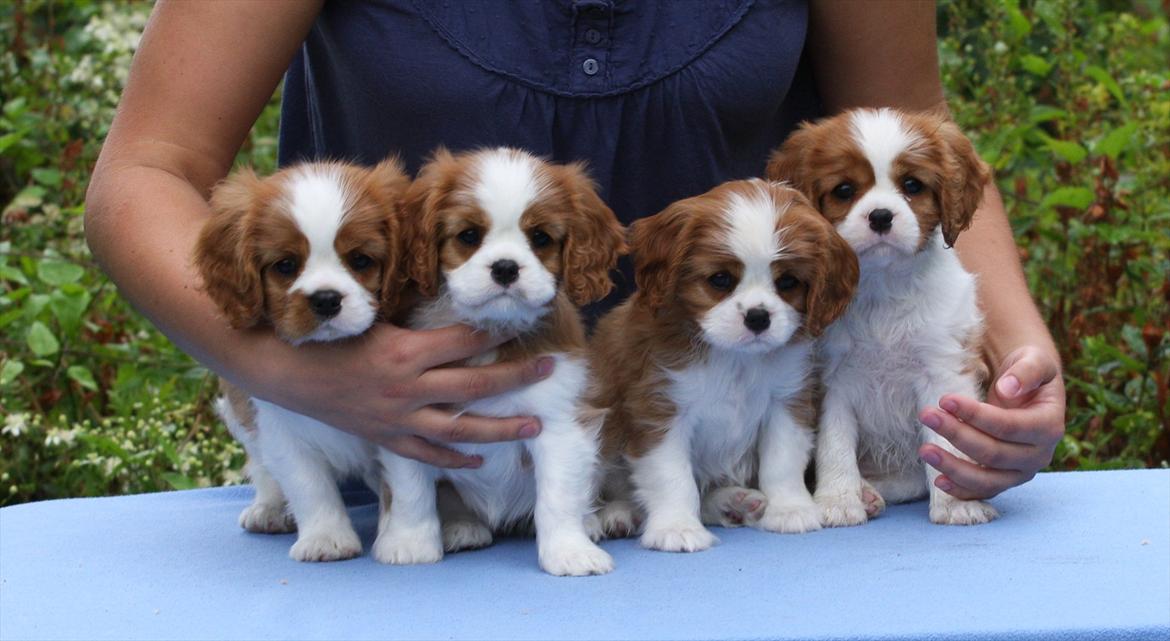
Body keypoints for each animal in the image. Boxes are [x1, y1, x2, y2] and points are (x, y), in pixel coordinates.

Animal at [194, 159, 409, 561]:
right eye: (285, 265)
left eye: (360, 260)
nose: (325, 299)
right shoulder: (280, 426)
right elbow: (308, 484)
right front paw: (327, 538)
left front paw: (400, 537)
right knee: (263, 467)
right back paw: (269, 508)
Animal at [376, 146, 631, 575]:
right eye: (468, 236)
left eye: (541, 238)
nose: (506, 268)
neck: (491, 330)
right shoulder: (406, 419)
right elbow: (412, 490)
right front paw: (410, 543)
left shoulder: (560, 422)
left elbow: (559, 496)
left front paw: (569, 551)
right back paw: (461, 527)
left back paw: (599, 519)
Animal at [594, 178, 861, 549]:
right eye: (720, 280)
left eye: (787, 282)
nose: (758, 317)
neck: (736, 358)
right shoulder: (661, 410)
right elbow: (672, 476)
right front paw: (677, 527)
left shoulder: (786, 401)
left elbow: (782, 462)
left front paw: (790, 509)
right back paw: (615, 514)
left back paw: (732, 503)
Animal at [767, 106, 996, 526]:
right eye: (844, 190)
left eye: (912, 185)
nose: (881, 217)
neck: (882, 286)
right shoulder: (830, 381)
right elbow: (835, 444)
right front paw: (838, 501)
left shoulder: (943, 372)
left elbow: (946, 446)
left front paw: (957, 503)